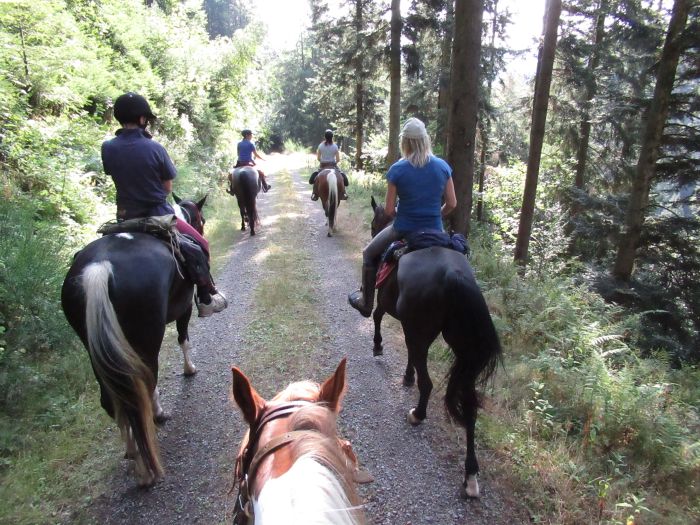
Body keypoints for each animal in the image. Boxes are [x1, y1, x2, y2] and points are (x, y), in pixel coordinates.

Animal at [60, 196, 206, 488]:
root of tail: (100, 269)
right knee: (143, 389)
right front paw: (190, 369)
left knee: (115, 399)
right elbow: (183, 339)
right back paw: (149, 455)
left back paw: (132, 451)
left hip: (97, 349)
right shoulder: (184, 308)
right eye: (200, 219)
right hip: (146, 340)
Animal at [370, 195, 500, 496]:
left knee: (428, 384)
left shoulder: (388, 306)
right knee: (470, 405)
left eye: (373, 223)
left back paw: (418, 414)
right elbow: (408, 353)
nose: (372, 232)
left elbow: (377, 317)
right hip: (463, 350)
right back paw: (471, 475)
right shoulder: (411, 328)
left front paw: (378, 346)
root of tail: (453, 276)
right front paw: (407, 376)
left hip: (425, 333)